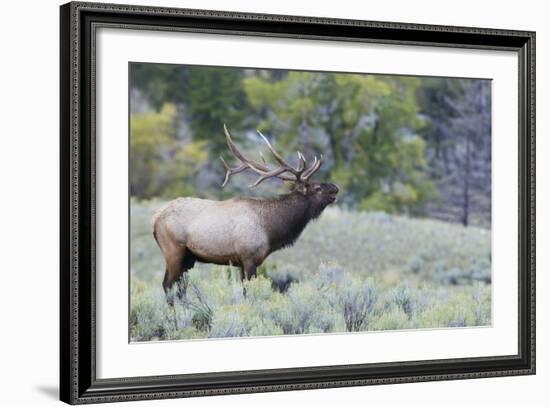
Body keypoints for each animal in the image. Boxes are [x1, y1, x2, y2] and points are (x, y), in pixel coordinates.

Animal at [152, 126, 340, 304]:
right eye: (317, 188)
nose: (335, 188)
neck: (271, 230)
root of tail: (154, 220)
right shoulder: (249, 257)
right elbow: (249, 293)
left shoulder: (241, 262)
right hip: (174, 250)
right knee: (167, 285)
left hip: (189, 258)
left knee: (180, 288)